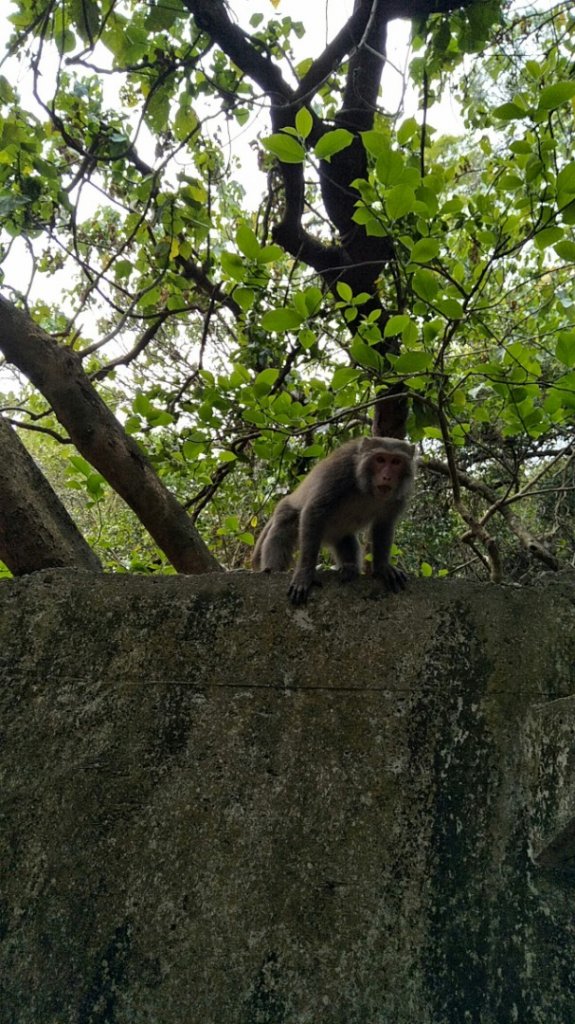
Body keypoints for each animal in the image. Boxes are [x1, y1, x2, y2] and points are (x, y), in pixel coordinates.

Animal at [252, 434, 413, 606]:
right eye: (380, 459)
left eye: (396, 462)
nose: (387, 477)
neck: (367, 487)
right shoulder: (341, 469)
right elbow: (315, 510)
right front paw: (304, 574)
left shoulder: (399, 496)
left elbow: (384, 524)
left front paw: (383, 567)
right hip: (287, 509)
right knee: (282, 530)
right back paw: (271, 569)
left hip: (336, 534)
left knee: (347, 542)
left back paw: (349, 568)